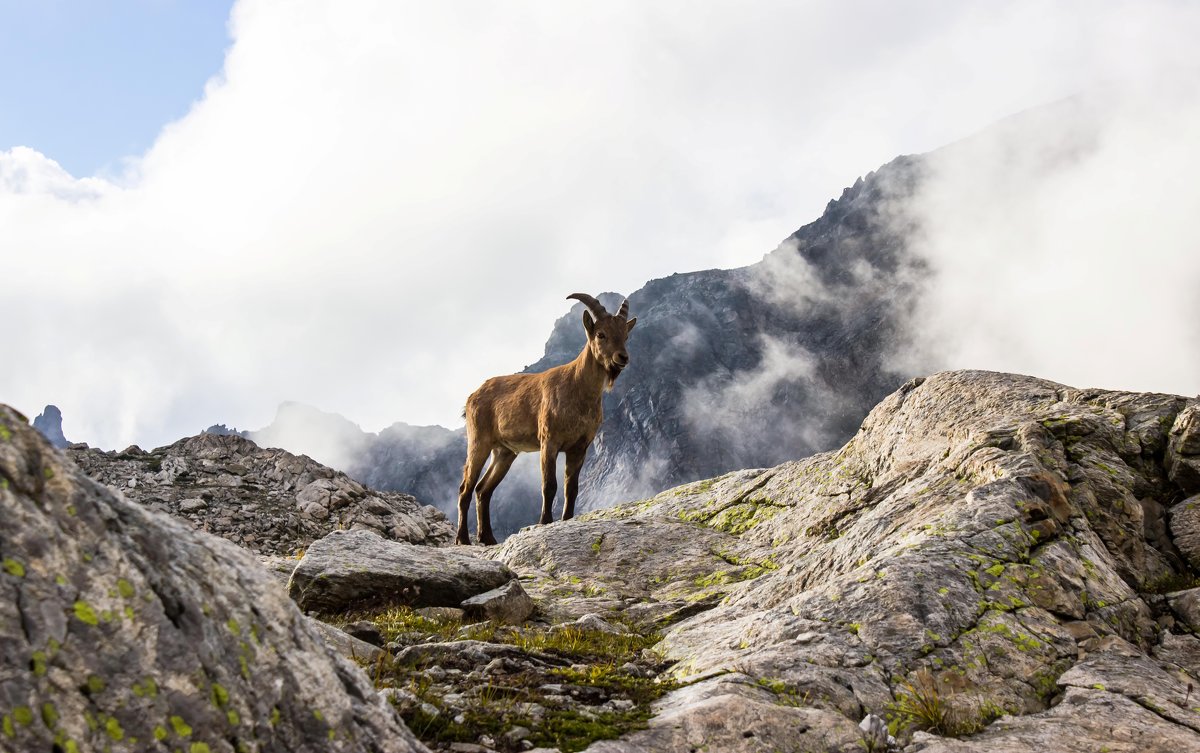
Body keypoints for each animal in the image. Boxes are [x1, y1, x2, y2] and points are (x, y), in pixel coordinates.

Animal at [453, 291, 638, 544]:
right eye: (601, 334)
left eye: (626, 335)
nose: (623, 357)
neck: (577, 387)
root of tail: (472, 396)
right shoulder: (549, 441)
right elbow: (549, 485)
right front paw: (545, 522)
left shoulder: (579, 447)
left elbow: (572, 487)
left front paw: (567, 520)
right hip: (479, 441)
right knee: (466, 487)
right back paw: (463, 538)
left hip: (504, 451)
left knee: (483, 489)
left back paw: (487, 538)